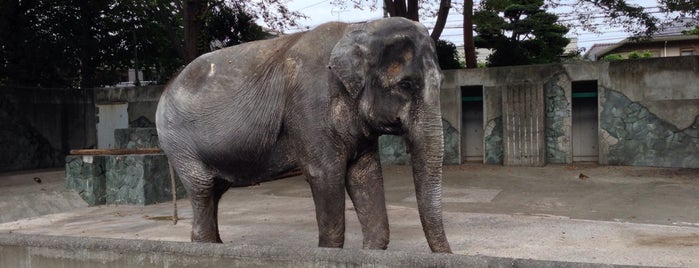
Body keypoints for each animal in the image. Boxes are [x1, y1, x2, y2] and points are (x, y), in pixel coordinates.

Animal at [155, 17, 452, 253]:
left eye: (441, 82)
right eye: (405, 85)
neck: (359, 28)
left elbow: (365, 177)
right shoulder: (310, 107)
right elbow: (326, 176)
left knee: (214, 193)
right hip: (179, 143)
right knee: (202, 189)